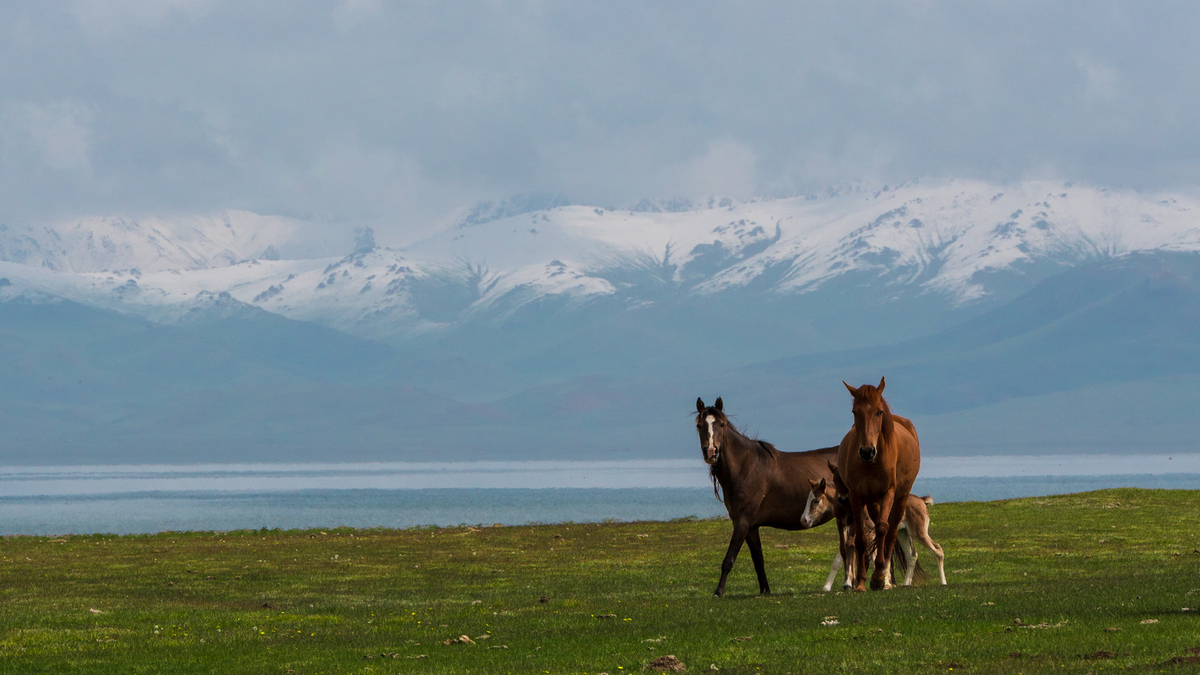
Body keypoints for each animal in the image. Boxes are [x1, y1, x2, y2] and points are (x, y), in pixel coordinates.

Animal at [695, 396, 838, 596]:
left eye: (721, 424)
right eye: (699, 425)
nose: (711, 452)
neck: (745, 467)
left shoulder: (743, 522)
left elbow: (729, 560)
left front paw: (718, 591)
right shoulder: (751, 526)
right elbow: (758, 561)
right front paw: (765, 590)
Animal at [802, 463, 946, 591]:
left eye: (816, 501)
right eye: (808, 499)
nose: (804, 520)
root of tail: (921, 500)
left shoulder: (868, 535)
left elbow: (870, 559)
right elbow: (840, 559)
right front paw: (829, 586)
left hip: (918, 533)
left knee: (937, 549)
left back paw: (943, 582)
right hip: (903, 533)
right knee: (911, 556)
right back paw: (906, 584)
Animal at [836, 377, 922, 591]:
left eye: (879, 412)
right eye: (855, 411)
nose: (867, 451)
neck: (872, 464)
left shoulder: (888, 493)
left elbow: (883, 529)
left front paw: (877, 578)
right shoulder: (856, 496)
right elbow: (861, 538)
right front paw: (860, 582)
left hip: (900, 498)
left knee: (890, 534)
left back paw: (886, 579)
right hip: (873, 502)